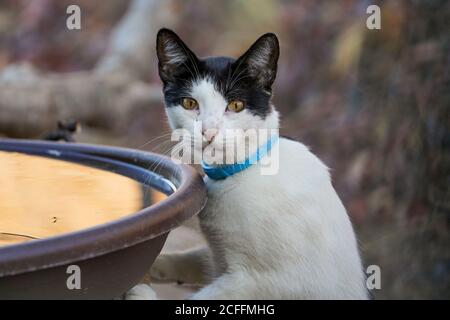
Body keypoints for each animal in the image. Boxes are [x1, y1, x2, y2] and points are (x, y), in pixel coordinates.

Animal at [125, 28, 368, 300]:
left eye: (236, 105)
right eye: (189, 103)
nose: (209, 132)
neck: (239, 172)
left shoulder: (259, 281)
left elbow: (198, 298)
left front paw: (138, 290)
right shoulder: (218, 261)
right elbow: (189, 259)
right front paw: (149, 267)